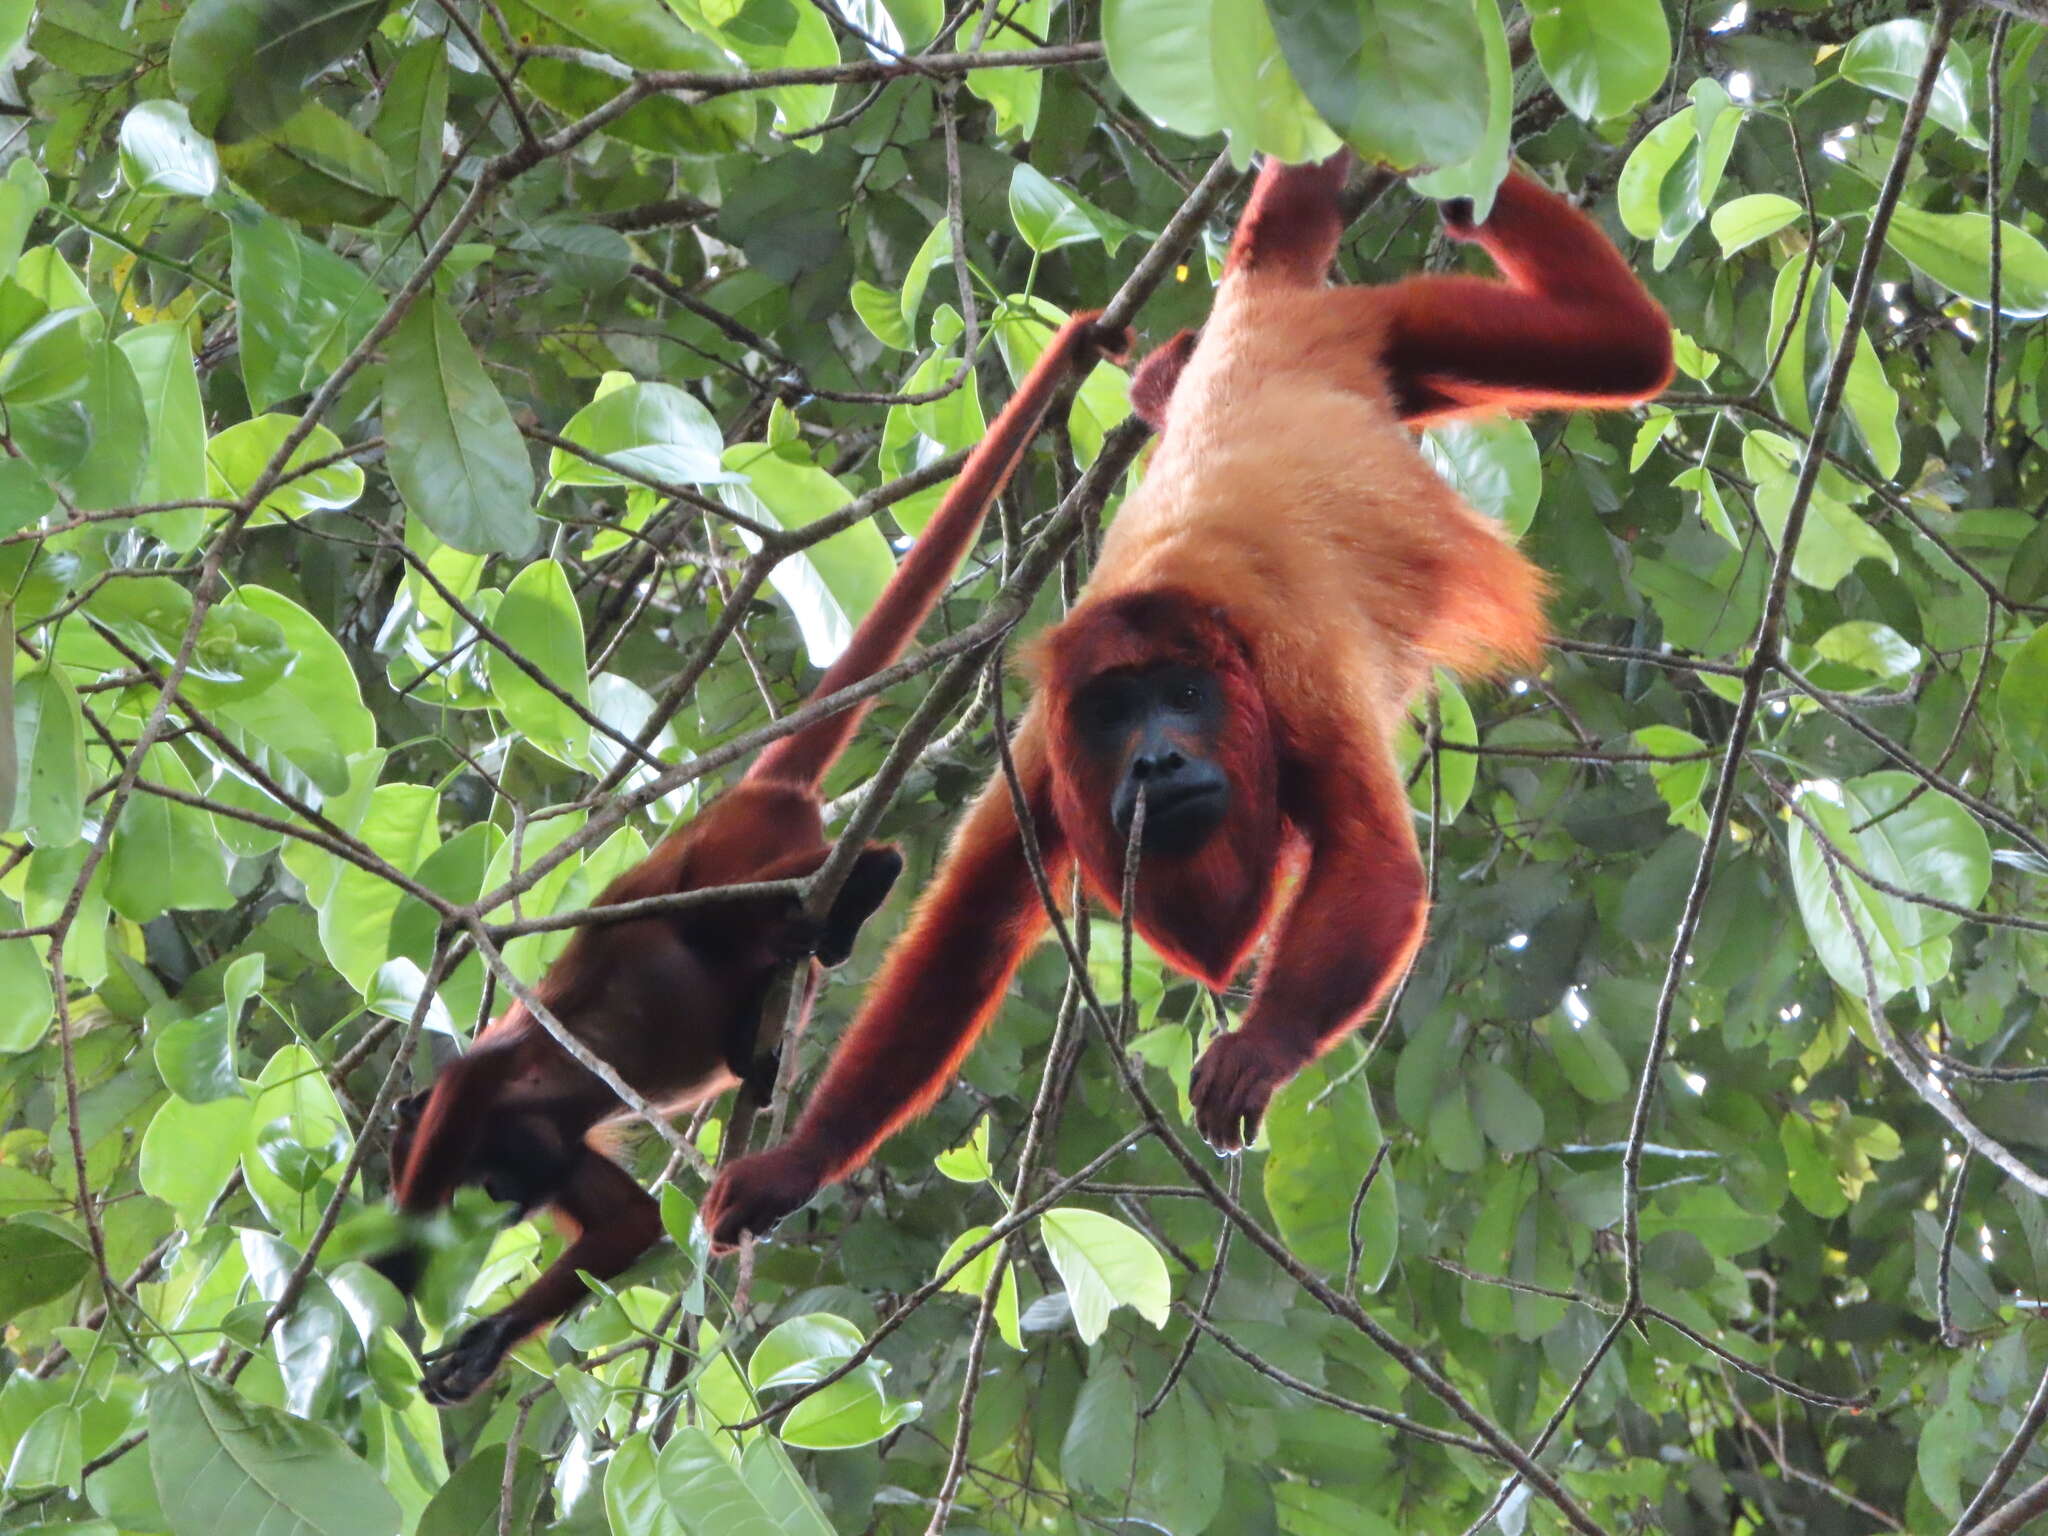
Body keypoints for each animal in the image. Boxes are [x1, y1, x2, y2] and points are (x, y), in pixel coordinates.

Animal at [376, 307, 1130, 1400]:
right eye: (495, 1191)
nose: (501, 1201)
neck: (518, 1135)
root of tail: (757, 788)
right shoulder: (551, 1147)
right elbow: (633, 1224)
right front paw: (482, 1340)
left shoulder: (499, 1098)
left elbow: (474, 1076)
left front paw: (387, 1270)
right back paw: (758, 1041)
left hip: (736, 846)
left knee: (707, 913)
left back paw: (857, 887)